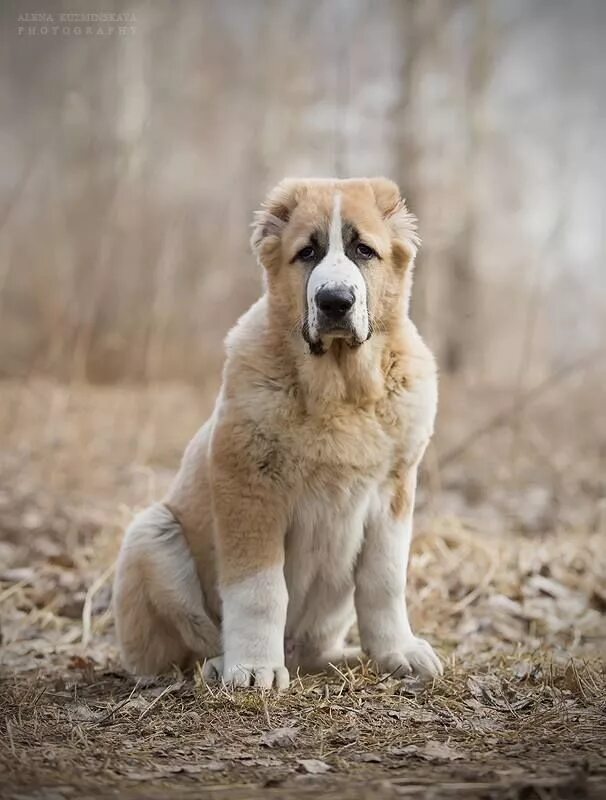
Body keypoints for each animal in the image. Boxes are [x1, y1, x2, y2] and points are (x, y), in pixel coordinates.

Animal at [113, 177, 442, 688]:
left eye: (364, 251)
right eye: (306, 253)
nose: (334, 301)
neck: (340, 391)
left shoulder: (395, 490)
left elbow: (385, 580)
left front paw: (398, 651)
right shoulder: (250, 489)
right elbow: (260, 590)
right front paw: (253, 668)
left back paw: (341, 658)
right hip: (151, 533)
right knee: (187, 647)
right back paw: (219, 664)